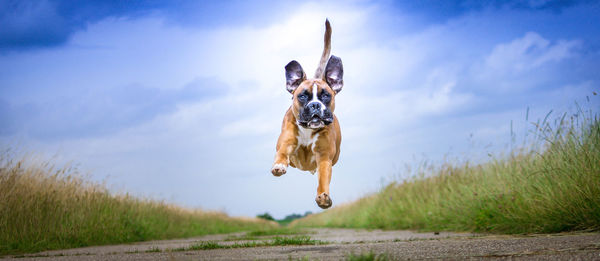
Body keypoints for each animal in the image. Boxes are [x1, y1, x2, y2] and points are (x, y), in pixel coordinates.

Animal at [270, 19, 342, 208]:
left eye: (326, 95)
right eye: (302, 96)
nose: (315, 105)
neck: (308, 130)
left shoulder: (324, 157)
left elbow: (323, 176)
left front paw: (323, 196)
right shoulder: (287, 142)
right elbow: (282, 153)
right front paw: (279, 165)